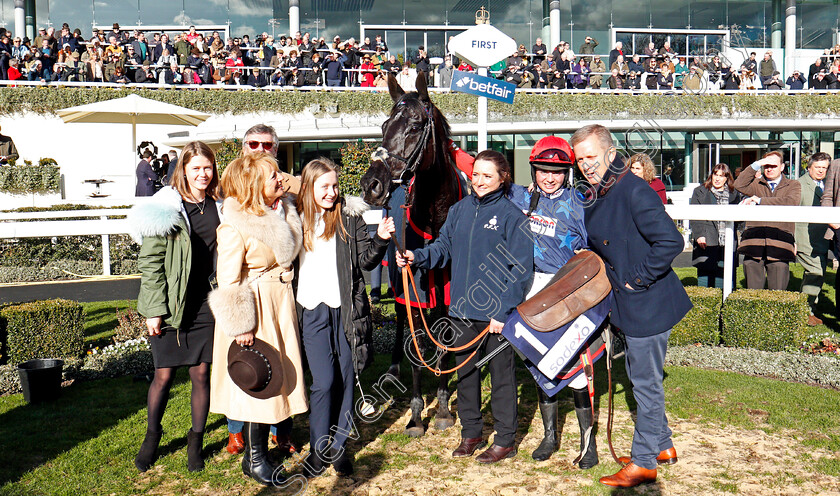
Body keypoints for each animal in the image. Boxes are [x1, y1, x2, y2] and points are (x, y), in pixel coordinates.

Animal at [360, 73, 466, 438]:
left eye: (416, 125)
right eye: (384, 125)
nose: (371, 184)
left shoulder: (446, 291)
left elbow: (444, 344)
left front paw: (445, 409)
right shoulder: (414, 287)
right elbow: (417, 348)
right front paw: (418, 416)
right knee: (401, 323)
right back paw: (393, 368)